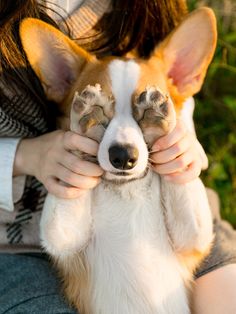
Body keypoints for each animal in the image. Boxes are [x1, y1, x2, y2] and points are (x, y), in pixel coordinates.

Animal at [20, 7, 218, 314]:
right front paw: (86, 122)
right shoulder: (63, 237)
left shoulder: (193, 237)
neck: (127, 192)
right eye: (104, 115)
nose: (123, 157)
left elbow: (182, 180)